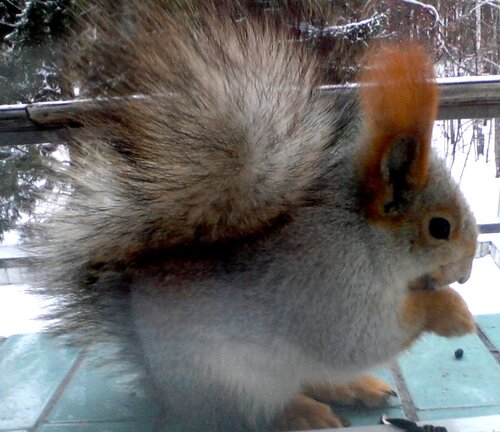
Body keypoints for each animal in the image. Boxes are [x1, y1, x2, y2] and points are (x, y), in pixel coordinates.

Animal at [28, 1, 480, 430]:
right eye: (440, 228)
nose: (465, 275)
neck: (362, 233)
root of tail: (163, 385)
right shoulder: (325, 286)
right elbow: (359, 339)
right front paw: (449, 311)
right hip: (233, 381)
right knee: (255, 412)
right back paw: (301, 413)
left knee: (313, 378)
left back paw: (353, 387)